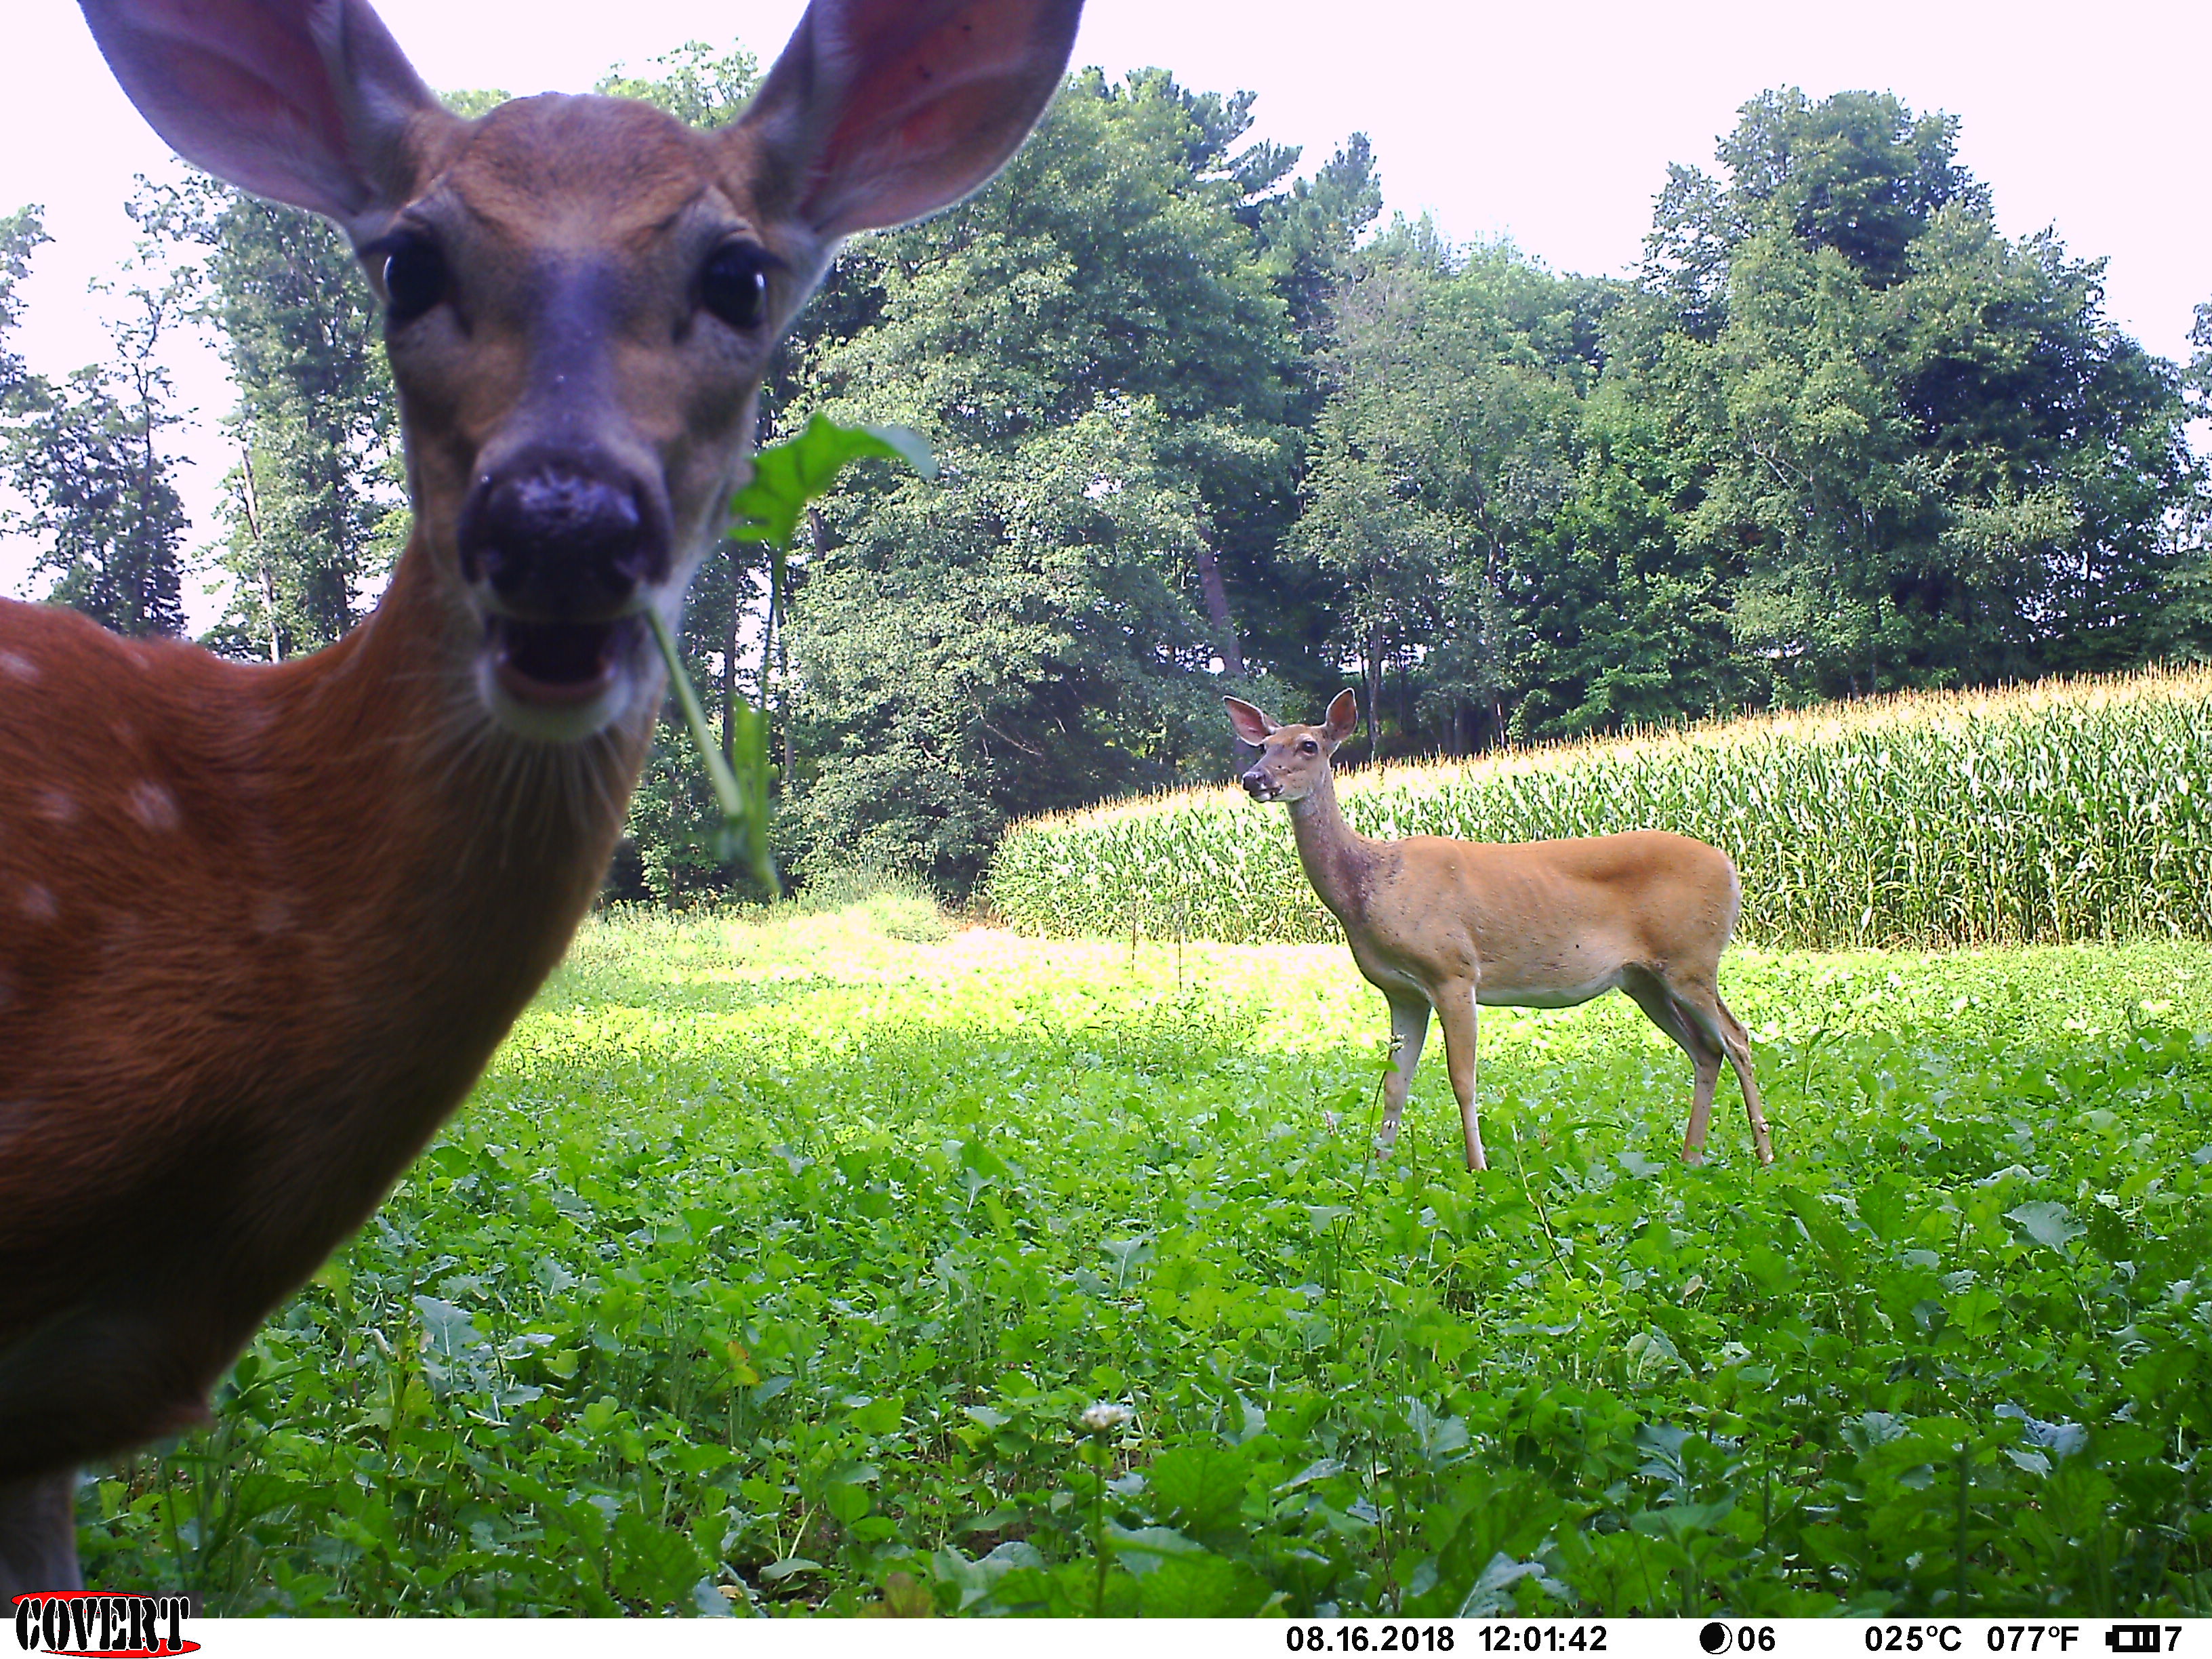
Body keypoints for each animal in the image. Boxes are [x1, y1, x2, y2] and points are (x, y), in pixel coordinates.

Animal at [1221, 694, 1769, 1176]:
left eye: (1308, 745)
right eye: (1264, 745)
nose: (1254, 779)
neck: (1374, 884)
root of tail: (1729, 867)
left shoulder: (1454, 971)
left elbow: (1462, 1078)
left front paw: (1478, 1168)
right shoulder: (1402, 992)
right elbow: (1395, 1084)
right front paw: (1377, 1170)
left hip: (1691, 958)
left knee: (1738, 1038)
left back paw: (1764, 1155)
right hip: (1644, 978)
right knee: (1707, 1049)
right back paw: (1692, 1157)